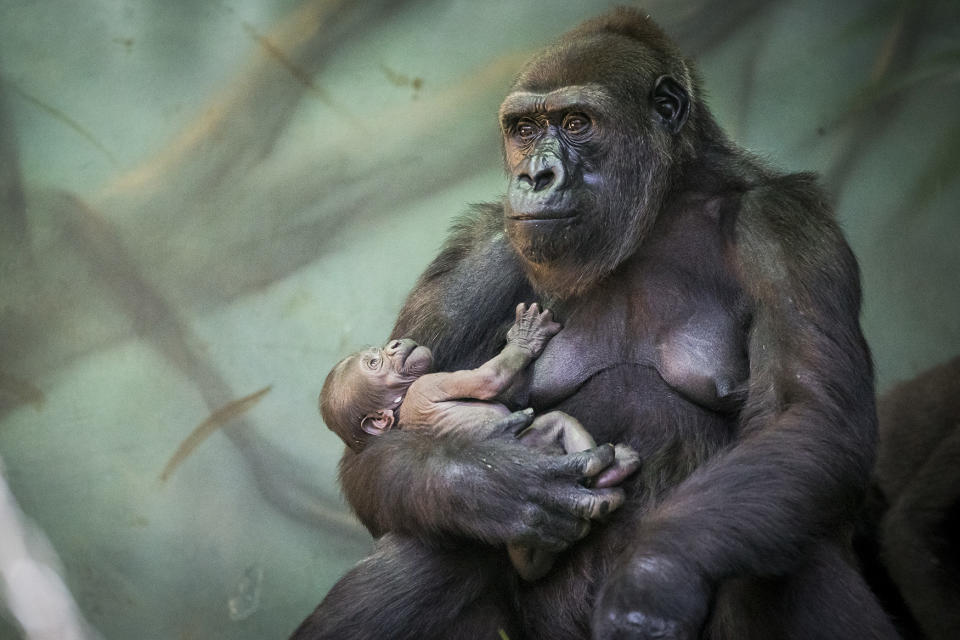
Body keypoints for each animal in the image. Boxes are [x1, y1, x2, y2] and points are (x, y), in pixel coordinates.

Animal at [320, 302, 636, 584]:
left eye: (380, 353)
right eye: (375, 363)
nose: (394, 345)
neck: (400, 405)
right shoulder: (429, 384)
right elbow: (488, 380)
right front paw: (525, 338)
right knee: (558, 425)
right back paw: (607, 477)